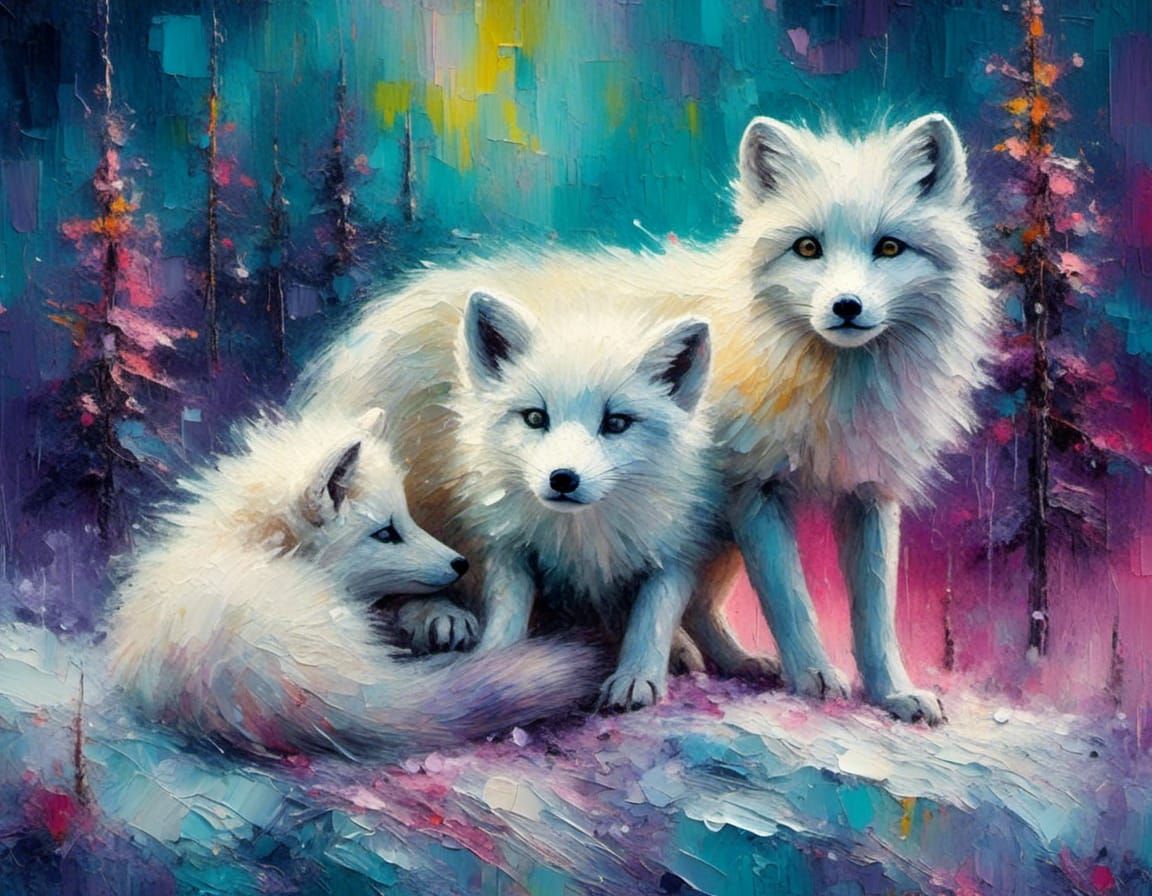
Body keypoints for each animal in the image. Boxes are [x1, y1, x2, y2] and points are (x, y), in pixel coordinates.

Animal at [292, 266, 725, 711]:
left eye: (617, 423)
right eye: (535, 417)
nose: (563, 478)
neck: (578, 533)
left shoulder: (679, 547)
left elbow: (653, 615)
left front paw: (637, 675)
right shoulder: (506, 543)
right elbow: (507, 611)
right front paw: (501, 668)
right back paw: (439, 615)